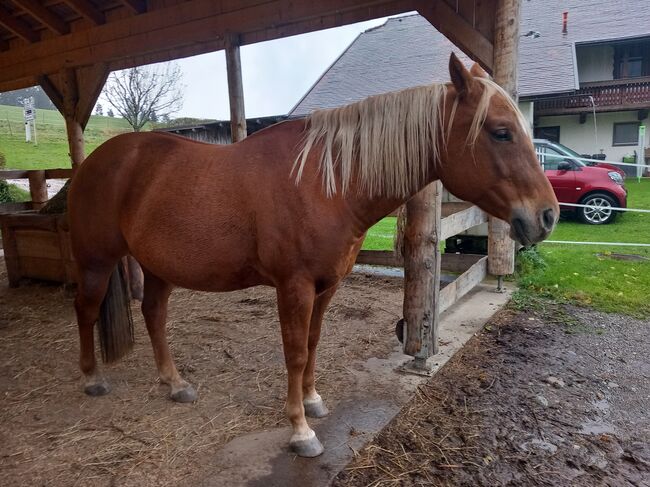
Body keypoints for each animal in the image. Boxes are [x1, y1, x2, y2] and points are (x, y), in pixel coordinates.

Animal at [68, 55, 560, 460]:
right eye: (500, 131)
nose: (548, 215)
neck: (327, 183)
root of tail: (94, 162)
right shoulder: (295, 287)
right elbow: (295, 351)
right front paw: (300, 431)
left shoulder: (328, 285)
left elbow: (314, 344)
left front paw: (312, 401)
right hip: (97, 261)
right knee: (86, 310)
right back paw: (92, 379)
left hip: (158, 266)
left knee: (153, 314)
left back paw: (175, 384)